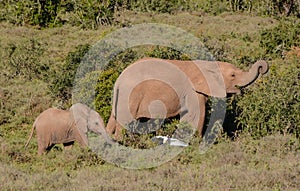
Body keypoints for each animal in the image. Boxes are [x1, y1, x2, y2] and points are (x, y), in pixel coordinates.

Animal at [106, 57, 268, 139]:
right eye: (233, 75)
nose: (262, 66)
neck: (207, 65)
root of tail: (118, 80)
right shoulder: (193, 92)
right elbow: (198, 114)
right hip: (131, 95)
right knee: (124, 123)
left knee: (112, 121)